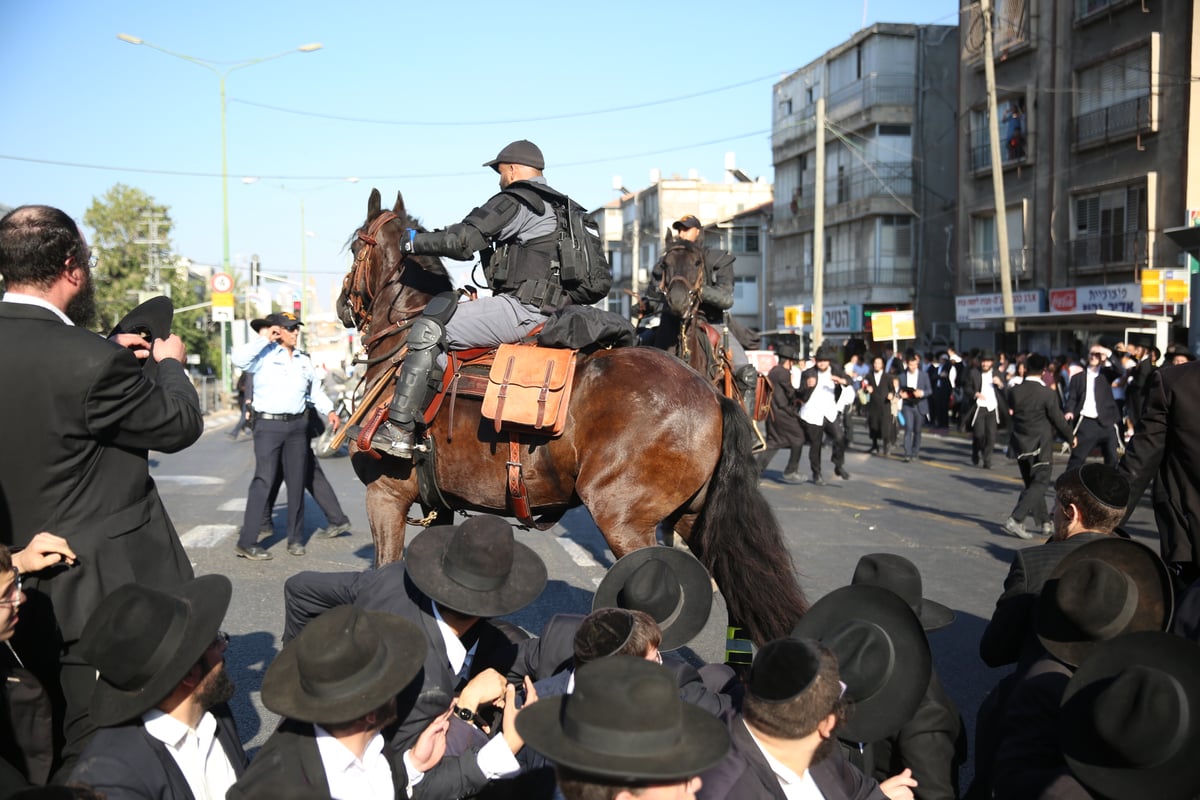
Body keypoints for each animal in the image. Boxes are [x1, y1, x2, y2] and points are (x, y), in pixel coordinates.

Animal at [340, 190, 806, 647]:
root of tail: (710, 395)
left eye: (355, 246)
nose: (344, 307)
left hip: (624, 522)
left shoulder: (385, 497)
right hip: (695, 517)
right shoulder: (439, 508)